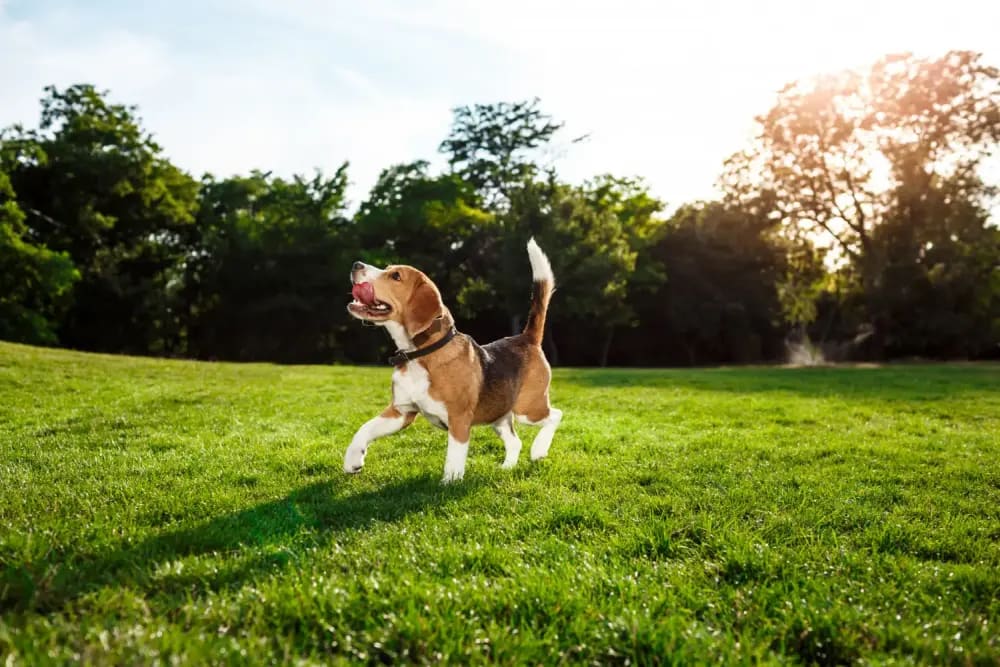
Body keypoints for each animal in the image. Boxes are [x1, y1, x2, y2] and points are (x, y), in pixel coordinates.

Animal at [344, 237, 564, 482]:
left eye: (396, 276)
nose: (355, 265)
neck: (420, 355)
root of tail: (526, 338)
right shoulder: (401, 412)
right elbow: (364, 429)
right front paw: (353, 460)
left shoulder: (459, 418)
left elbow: (454, 456)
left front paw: (449, 483)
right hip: (499, 415)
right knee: (515, 441)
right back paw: (507, 467)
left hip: (528, 408)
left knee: (556, 415)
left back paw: (539, 450)